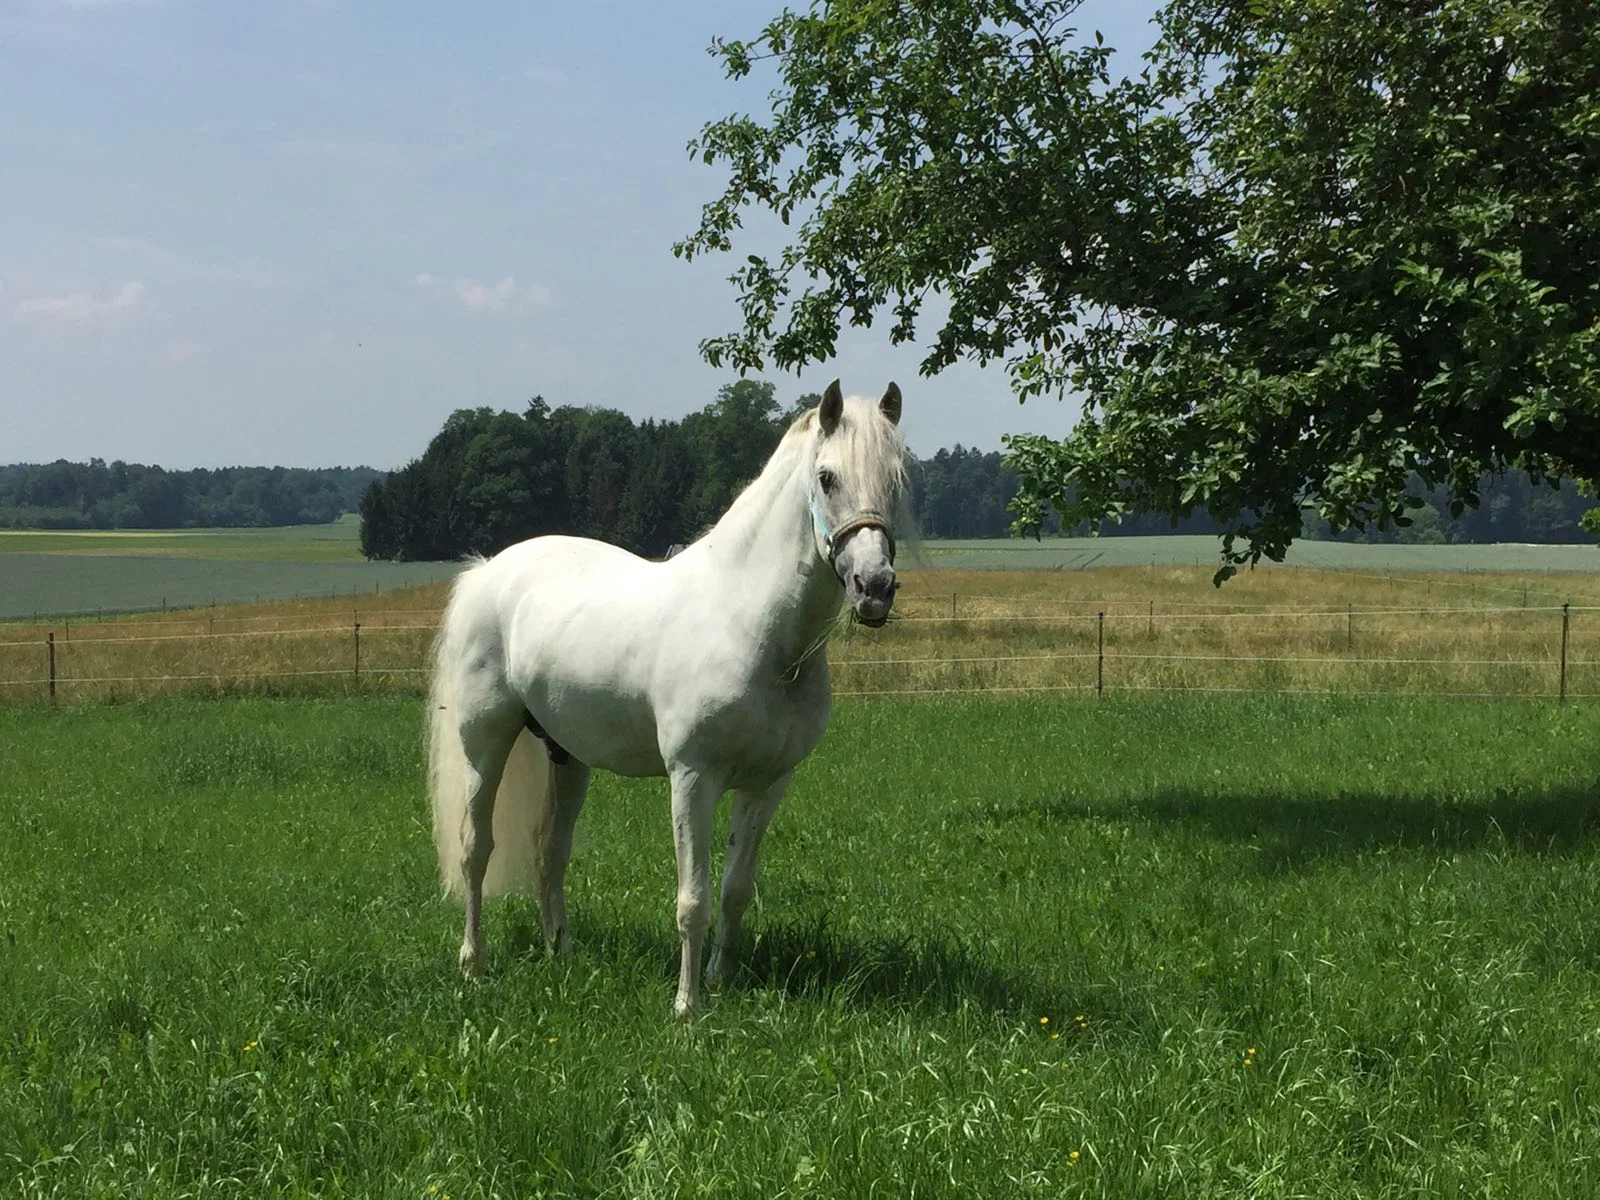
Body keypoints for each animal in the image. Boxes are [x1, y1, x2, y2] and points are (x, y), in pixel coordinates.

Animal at [427, 380, 908, 1018]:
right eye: (827, 477)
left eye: (897, 479)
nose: (874, 588)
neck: (749, 625)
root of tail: (486, 572)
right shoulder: (692, 778)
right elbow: (693, 899)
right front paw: (687, 1007)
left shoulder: (767, 785)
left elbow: (734, 890)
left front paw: (721, 982)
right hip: (485, 743)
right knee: (475, 850)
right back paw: (473, 966)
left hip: (568, 756)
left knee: (549, 851)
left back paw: (562, 953)